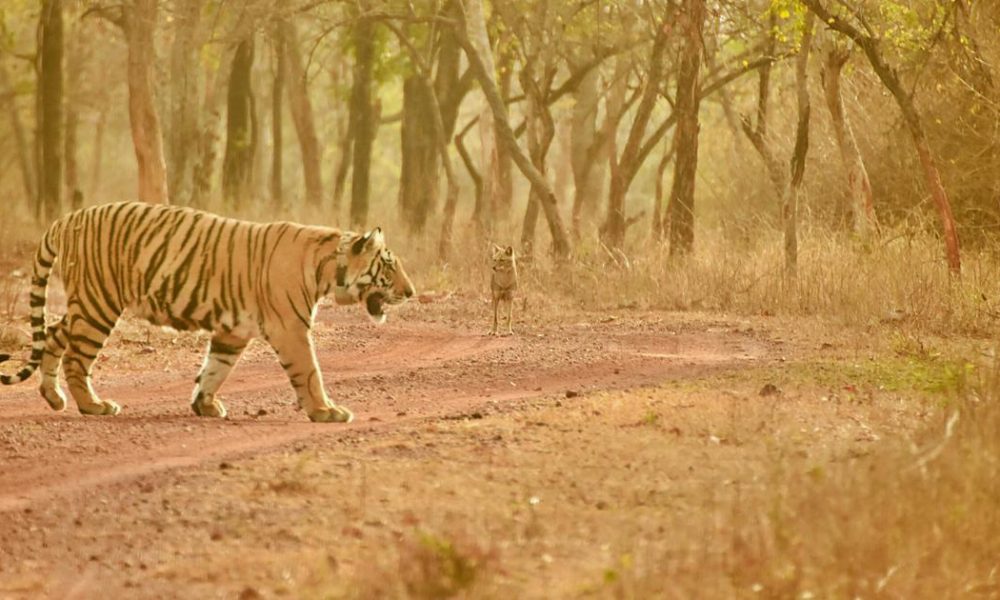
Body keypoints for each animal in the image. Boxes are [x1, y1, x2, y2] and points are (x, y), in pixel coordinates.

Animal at [0, 201, 415, 423]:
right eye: (389, 265)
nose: (411, 292)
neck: (328, 268)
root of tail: (68, 217)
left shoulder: (234, 331)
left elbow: (216, 368)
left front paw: (205, 404)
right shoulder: (290, 329)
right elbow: (310, 372)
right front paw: (327, 411)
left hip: (86, 304)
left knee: (53, 336)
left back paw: (53, 397)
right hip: (98, 304)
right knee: (76, 357)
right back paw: (94, 405)